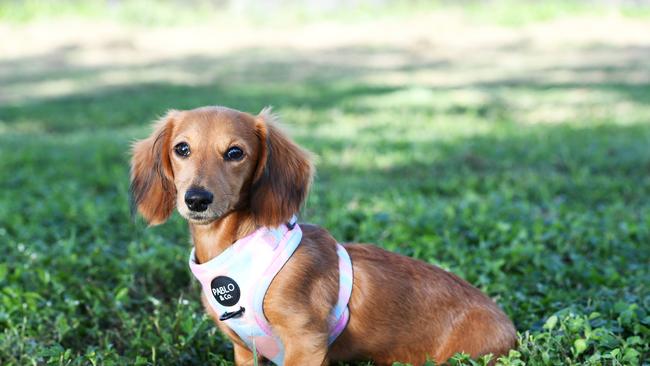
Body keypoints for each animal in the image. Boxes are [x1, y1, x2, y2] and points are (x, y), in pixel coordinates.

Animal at [130, 104, 516, 364]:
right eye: (182, 149)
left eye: (235, 152)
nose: (197, 199)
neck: (236, 248)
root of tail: (509, 325)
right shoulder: (245, 350)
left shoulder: (306, 341)